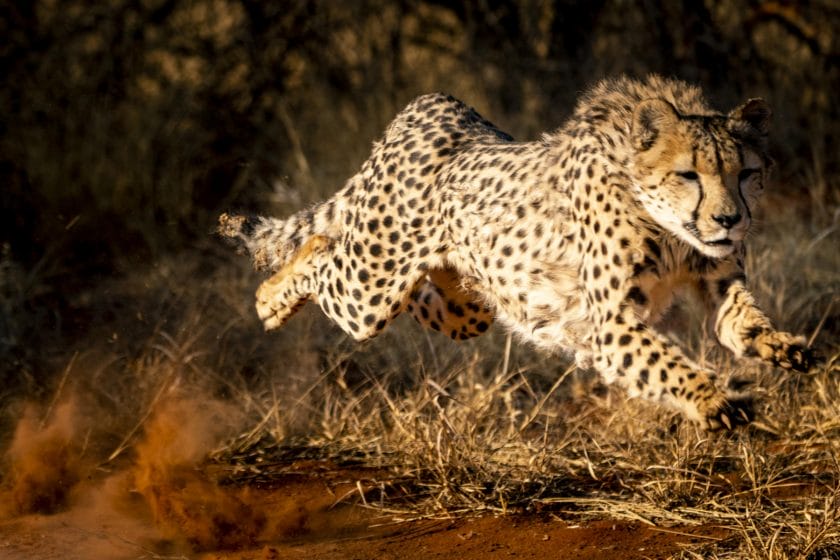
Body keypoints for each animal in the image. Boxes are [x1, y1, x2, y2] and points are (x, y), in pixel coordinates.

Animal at [220, 75, 816, 428]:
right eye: (689, 174)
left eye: (747, 173)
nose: (729, 219)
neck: (669, 229)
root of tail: (434, 105)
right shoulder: (612, 323)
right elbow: (664, 363)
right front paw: (713, 399)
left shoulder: (717, 281)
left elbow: (739, 322)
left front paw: (780, 346)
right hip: (370, 287)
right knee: (323, 258)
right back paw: (269, 300)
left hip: (468, 305)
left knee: (368, 267)